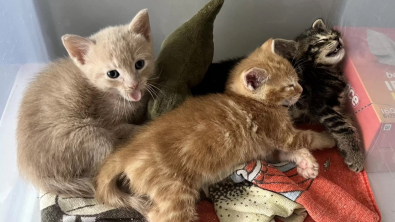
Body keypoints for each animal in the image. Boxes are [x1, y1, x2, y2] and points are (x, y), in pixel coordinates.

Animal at [17, 9, 156, 196]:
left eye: (139, 64)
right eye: (113, 74)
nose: (133, 84)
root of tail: (37, 177)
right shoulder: (108, 123)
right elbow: (130, 129)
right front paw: (145, 126)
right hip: (92, 136)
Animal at [95, 38, 334, 222]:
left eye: (296, 79)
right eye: (290, 85)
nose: (301, 89)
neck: (250, 101)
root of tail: (127, 152)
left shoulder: (268, 151)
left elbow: (291, 151)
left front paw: (307, 165)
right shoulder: (281, 133)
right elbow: (307, 137)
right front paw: (328, 138)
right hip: (175, 192)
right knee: (159, 216)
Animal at [193, 19, 366, 172]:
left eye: (332, 33)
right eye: (319, 42)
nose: (336, 37)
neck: (323, 70)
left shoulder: (339, 105)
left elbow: (350, 121)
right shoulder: (321, 105)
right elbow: (343, 126)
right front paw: (355, 155)